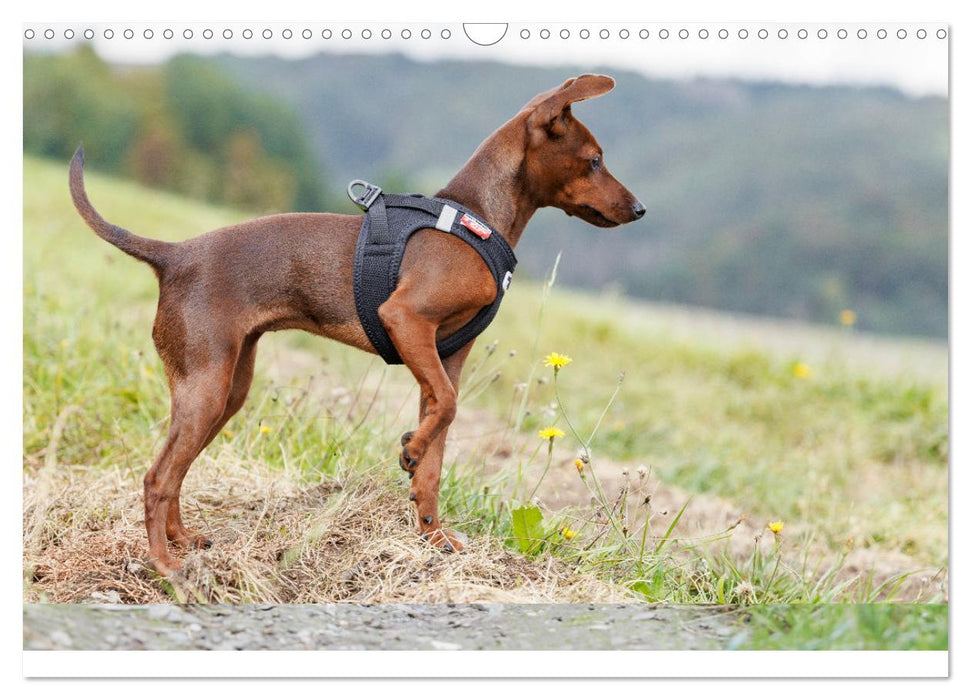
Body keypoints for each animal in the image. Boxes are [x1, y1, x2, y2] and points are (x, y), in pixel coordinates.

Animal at [68, 74, 644, 576]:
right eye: (595, 160)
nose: (640, 209)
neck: (474, 219)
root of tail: (173, 255)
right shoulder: (406, 321)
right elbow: (445, 411)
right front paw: (410, 449)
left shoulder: (447, 357)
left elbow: (438, 450)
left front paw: (433, 535)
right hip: (207, 387)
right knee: (157, 476)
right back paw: (166, 565)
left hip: (224, 389)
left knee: (175, 470)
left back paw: (182, 540)